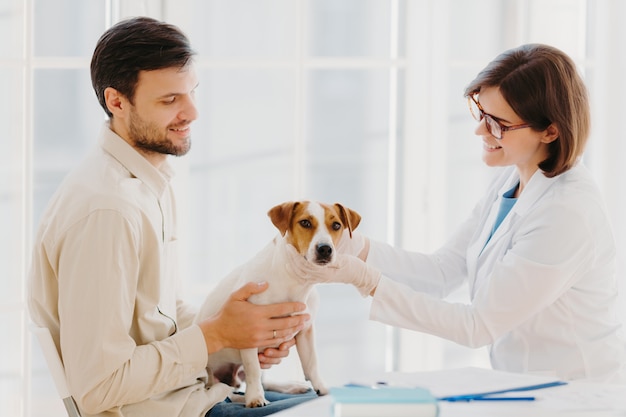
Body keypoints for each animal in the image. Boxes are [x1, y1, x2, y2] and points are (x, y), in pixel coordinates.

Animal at [195, 201, 360, 406]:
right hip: (209, 377)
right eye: (305, 223)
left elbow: (311, 363)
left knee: (263, 382)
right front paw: (255, 398)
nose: (325, 249)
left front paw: (321, 387)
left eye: (336, 225)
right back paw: (242, 397)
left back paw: (292, 386)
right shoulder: (249, 331)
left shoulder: (305, 329)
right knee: (225, 394)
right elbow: (253, 370)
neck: (293, 279)